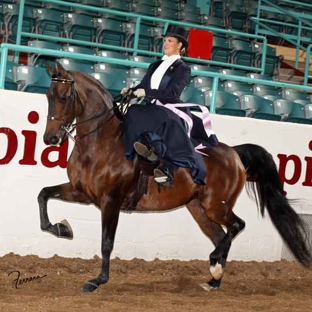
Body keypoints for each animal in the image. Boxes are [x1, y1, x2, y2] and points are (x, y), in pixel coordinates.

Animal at [39, 62, 312, 294]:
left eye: (63, 98)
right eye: (48, 96)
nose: (50, 139)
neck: (101, 142)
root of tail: (234, 153)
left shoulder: (111, 201)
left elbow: (107, 242)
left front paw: (97, 281)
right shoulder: (81, 192)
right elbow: (43, 195)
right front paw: (62, 229)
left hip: (216, 206)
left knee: (236, 226)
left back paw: (215, 265)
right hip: (199, 208)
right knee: (220, 235)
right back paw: (213, 279)